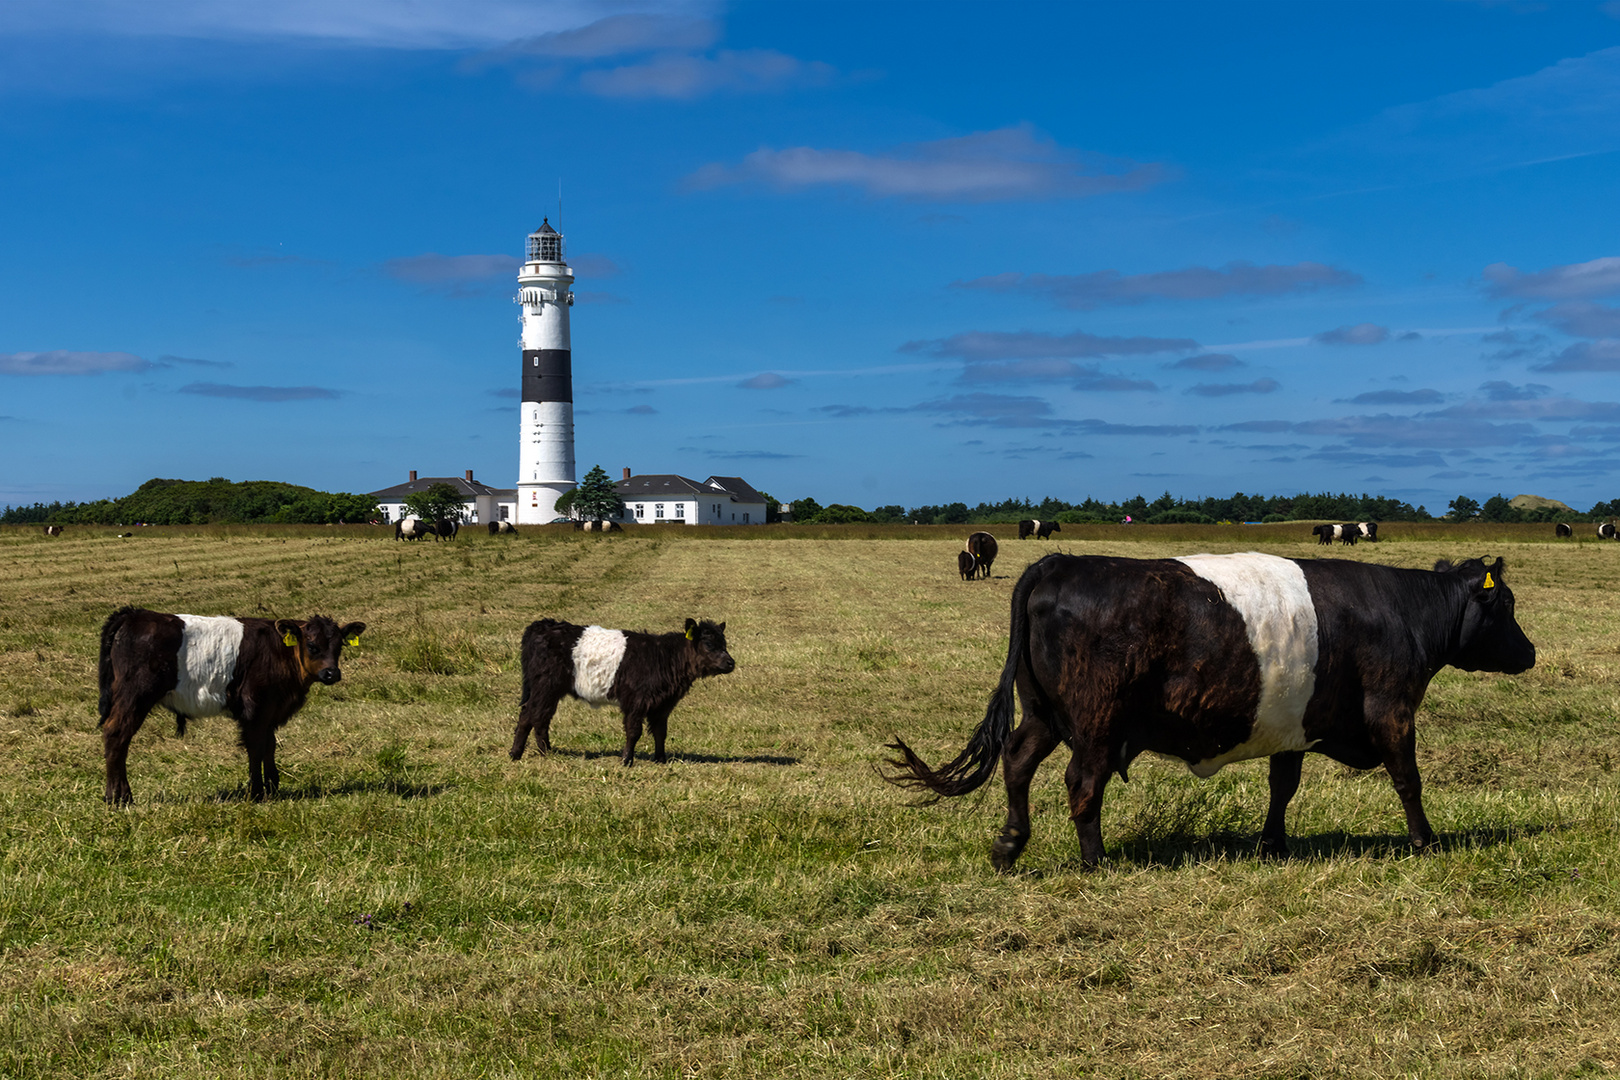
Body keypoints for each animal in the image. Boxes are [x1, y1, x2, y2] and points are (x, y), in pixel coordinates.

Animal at [94, 608, 367, 803]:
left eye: (340, 645)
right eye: (311, 645)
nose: (332, 673)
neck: (280, 653)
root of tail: (134, 614)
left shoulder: (270, 711)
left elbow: (270, 747)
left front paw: (272, 787)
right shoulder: (254, 708)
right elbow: (256, 749)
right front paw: (256, 792)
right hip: (135, 695)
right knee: (116, 734)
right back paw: (119, 797)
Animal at [511, 615, 735, 767]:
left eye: (724, 643)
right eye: (708, 644)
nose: (730, 663)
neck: (666, 657)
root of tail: (541, 625)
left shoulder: (663, 704)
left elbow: (660, 732)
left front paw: (660, 759)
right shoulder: (636, 700)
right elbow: (634, 731)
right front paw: (627, 760)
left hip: (548, 690)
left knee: (537, 717)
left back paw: (538, 752)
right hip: (545, 687)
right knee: (531, 715)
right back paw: (523, 753)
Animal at [887, 553, 1529, 874]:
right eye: (1506, 603)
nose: (1530, 652)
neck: (1403, 611)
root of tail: (1059, 561)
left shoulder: (1292, 726)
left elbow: (1282, 787)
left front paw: (1273, 845)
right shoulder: (1391, 709)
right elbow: (1408, 779)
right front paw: (1425, 842)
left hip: (1043, 713)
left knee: (1018, 762)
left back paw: (1009, 847)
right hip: (1097, 721)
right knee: (1082, 782)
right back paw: (1096, 862)